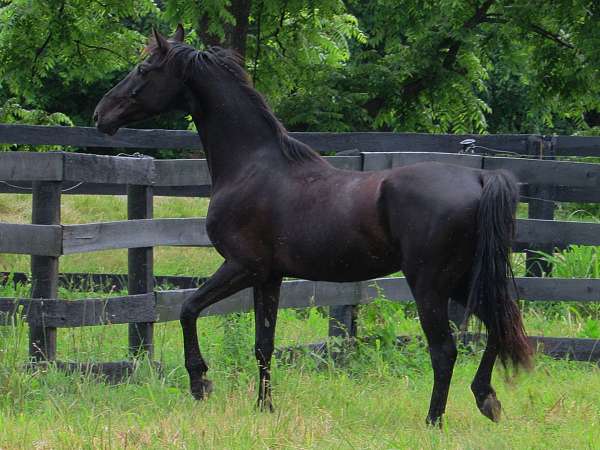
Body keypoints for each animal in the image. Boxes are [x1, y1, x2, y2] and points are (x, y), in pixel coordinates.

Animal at [94, 24, 528, 426]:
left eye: (144, 68)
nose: (101, 115)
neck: (253, 165)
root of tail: (480, 178)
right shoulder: (268, 277)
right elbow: (263, 344)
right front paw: (264, 407)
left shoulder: (241, 266)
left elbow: (187, 309)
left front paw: (201, 383)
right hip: (463, 280)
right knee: (498, 327)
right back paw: (486, 399)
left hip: (430, 285)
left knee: (445, 350)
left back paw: (433, 421)